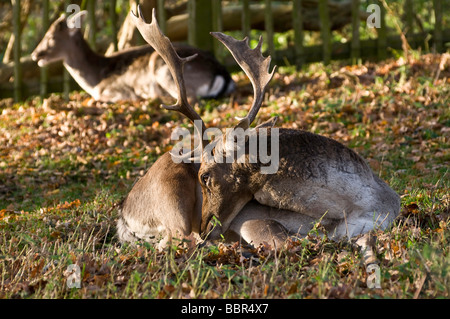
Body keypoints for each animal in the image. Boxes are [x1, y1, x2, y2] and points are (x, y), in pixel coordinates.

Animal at [31, 10, 236, 103]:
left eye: (51, 37)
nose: (35, 55)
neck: (97, 77)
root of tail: (223, 74)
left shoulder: (112, 89)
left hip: (161, 67)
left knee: (191, 98)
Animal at [127, 6, 400, 255]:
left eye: (204, 176)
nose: (204, 228)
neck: (355, 206)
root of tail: (124, 213)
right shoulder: (251, 219)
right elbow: (290, 241)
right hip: (170, 195)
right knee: (174, 241)